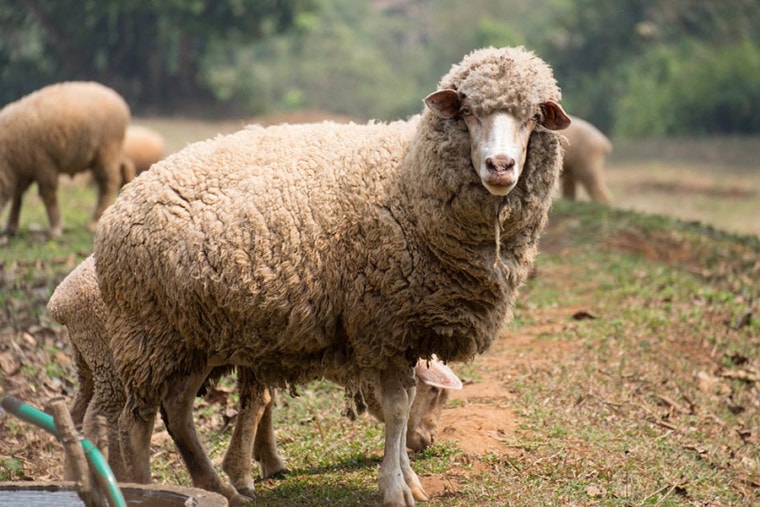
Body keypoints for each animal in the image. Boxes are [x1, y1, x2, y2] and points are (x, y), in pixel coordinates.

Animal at [0, 81, 130, 238]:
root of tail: (116, 98)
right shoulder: (23, 170)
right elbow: (17, 196)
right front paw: (11, 227)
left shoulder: (43, 163)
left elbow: (48, 195)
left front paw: (55, 228)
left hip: (107, 150)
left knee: (107, 184)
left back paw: (94, 222)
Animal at [47, 256, 464, 494]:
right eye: (433, 392)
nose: (425, 441)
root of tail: (58, 302)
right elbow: (259, 402)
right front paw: (243, 473)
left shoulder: (260, 354)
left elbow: (264, 403)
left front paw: (268, 460)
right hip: (118, 361)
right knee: (103, 419)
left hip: (89, 363)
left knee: (76, 414)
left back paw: (77, 477)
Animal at [93, 45, 568, 506]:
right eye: (467, 111)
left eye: (532, 117)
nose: (500, 166)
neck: (408, 180)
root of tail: (117, 210)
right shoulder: (383, 322)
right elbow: (398, 408)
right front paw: (395, 488)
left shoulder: (405, 329)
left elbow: (401, 407)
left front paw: (408, 479)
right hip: (149, 333)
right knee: (136, 421)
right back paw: (148, 487)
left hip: (193, 335)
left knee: (175, 410)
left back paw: (218, 489)